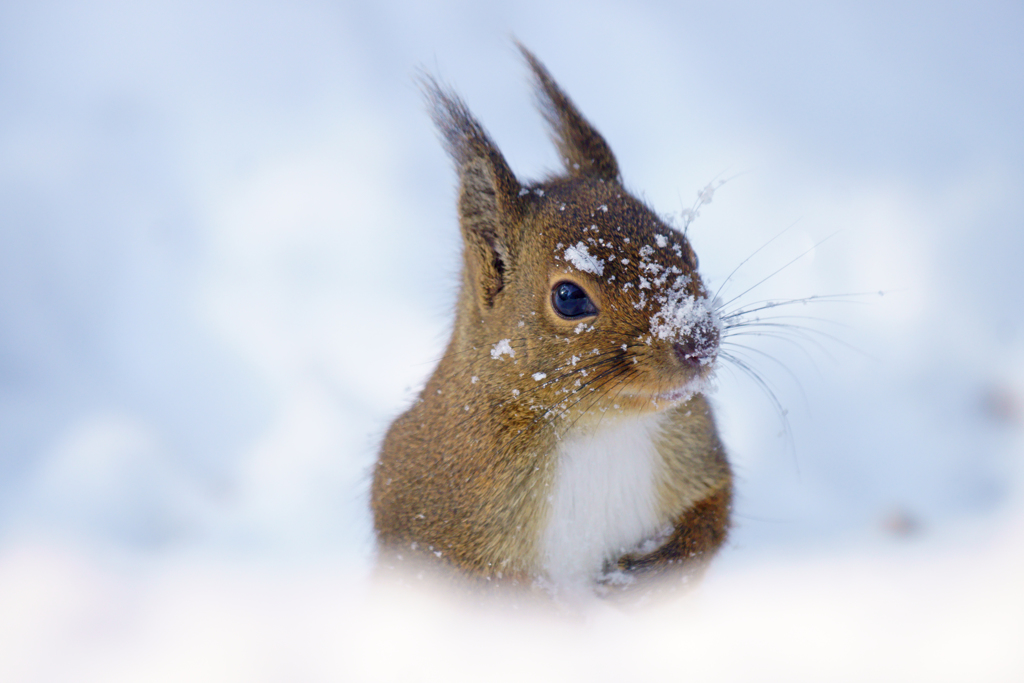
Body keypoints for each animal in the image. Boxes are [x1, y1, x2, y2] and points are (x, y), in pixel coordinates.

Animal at [372, 45, 733, 593]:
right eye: (568, 297)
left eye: (686, 248)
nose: (698, 343)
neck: (596, 430)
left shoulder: (695, 443)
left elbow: (714, 510)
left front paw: (645, 577)